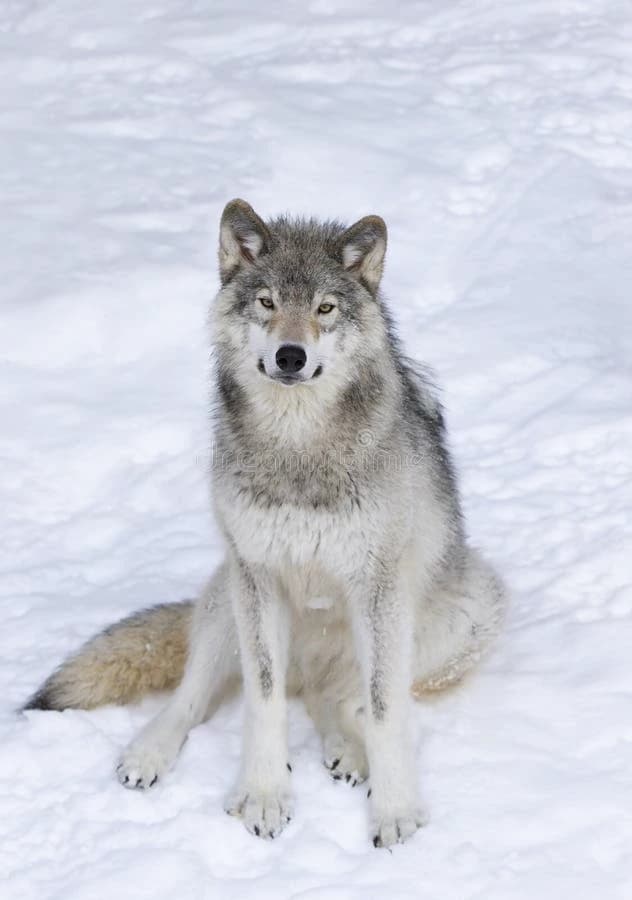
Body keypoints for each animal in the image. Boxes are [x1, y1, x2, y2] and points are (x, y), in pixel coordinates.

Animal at [25, 200, 506, 847]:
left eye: (325, 308)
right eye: (267, 302)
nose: (290, 356)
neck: (297, 448)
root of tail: (313, 669)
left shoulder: (377, 587)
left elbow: (384, 710)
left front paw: (394, 809)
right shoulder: (257, 576)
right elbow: (263, 699)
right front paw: (263, 795)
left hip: (461, 609)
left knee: (348, 700)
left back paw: (349, 754)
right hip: (227, 594)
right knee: (194, 698)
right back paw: (148, 753)